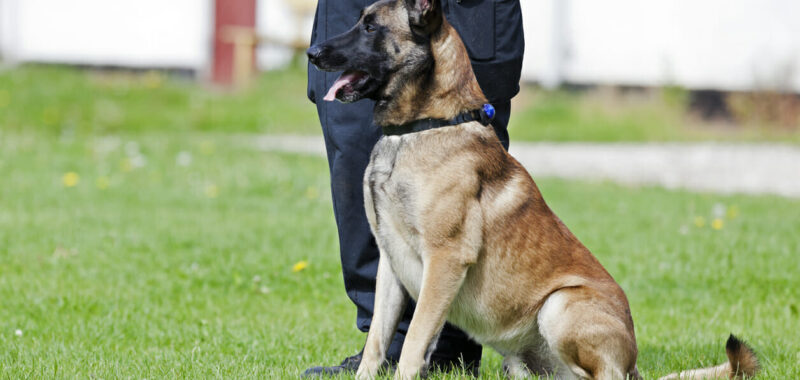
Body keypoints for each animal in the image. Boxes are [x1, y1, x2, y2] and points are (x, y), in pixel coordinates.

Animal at [310, 0, 760, 380]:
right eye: (360, 20)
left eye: (371, 27)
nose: (311, 53)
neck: (425, 125)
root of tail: (634, 366)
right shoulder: (391, 263)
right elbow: (378, 342)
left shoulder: (445, 260)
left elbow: (413, 342)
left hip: (559, 305)